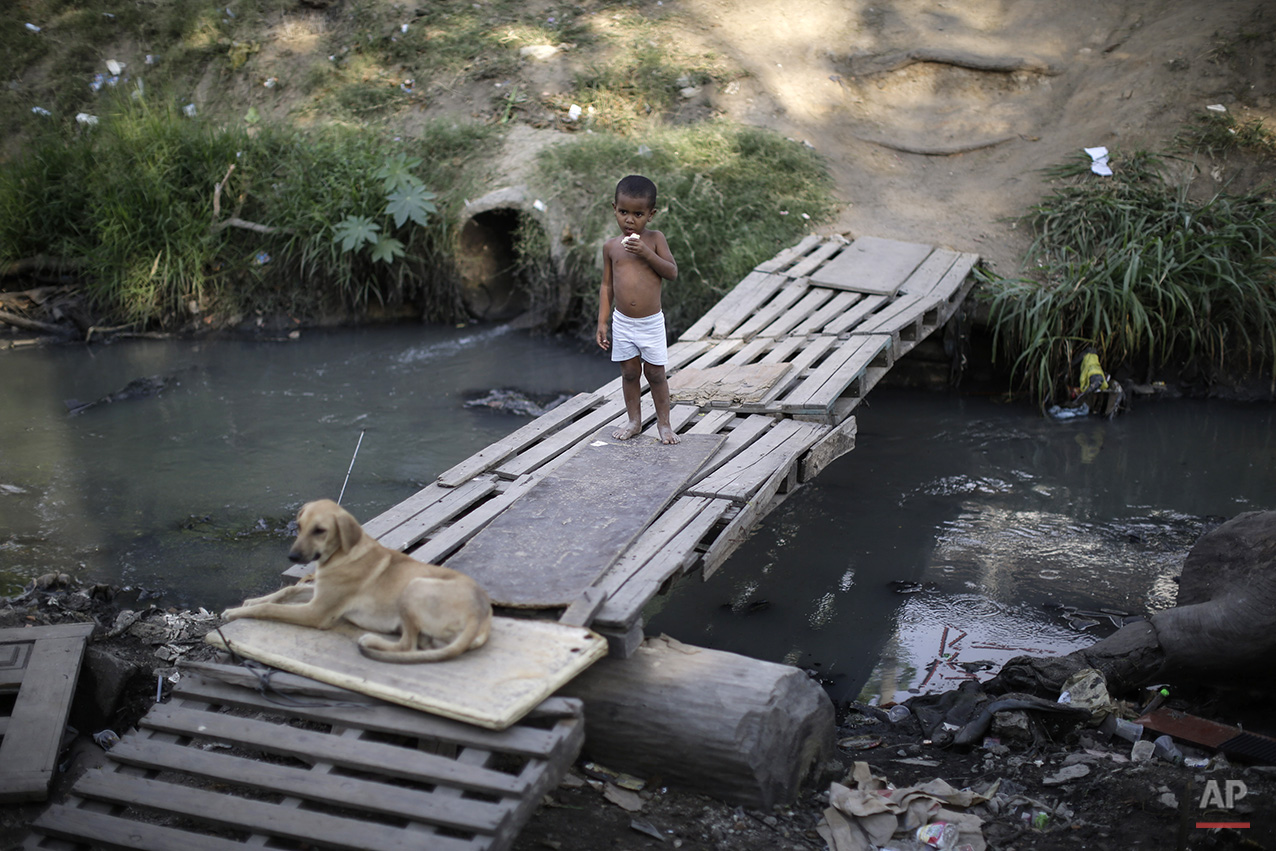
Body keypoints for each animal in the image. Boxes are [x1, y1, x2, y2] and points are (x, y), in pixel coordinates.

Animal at [224, 500, 492, 663]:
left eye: (319, 530)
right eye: (299, 526)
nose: (293, 557)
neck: (342, 554)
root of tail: (479, 614)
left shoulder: (317, 612)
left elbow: (270, 608)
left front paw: (234, 613)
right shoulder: (318, 594)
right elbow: (286, 591)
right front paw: (250, 602)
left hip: (414, 587)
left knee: (407, 646)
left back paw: (372, 640)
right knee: (421, 646)